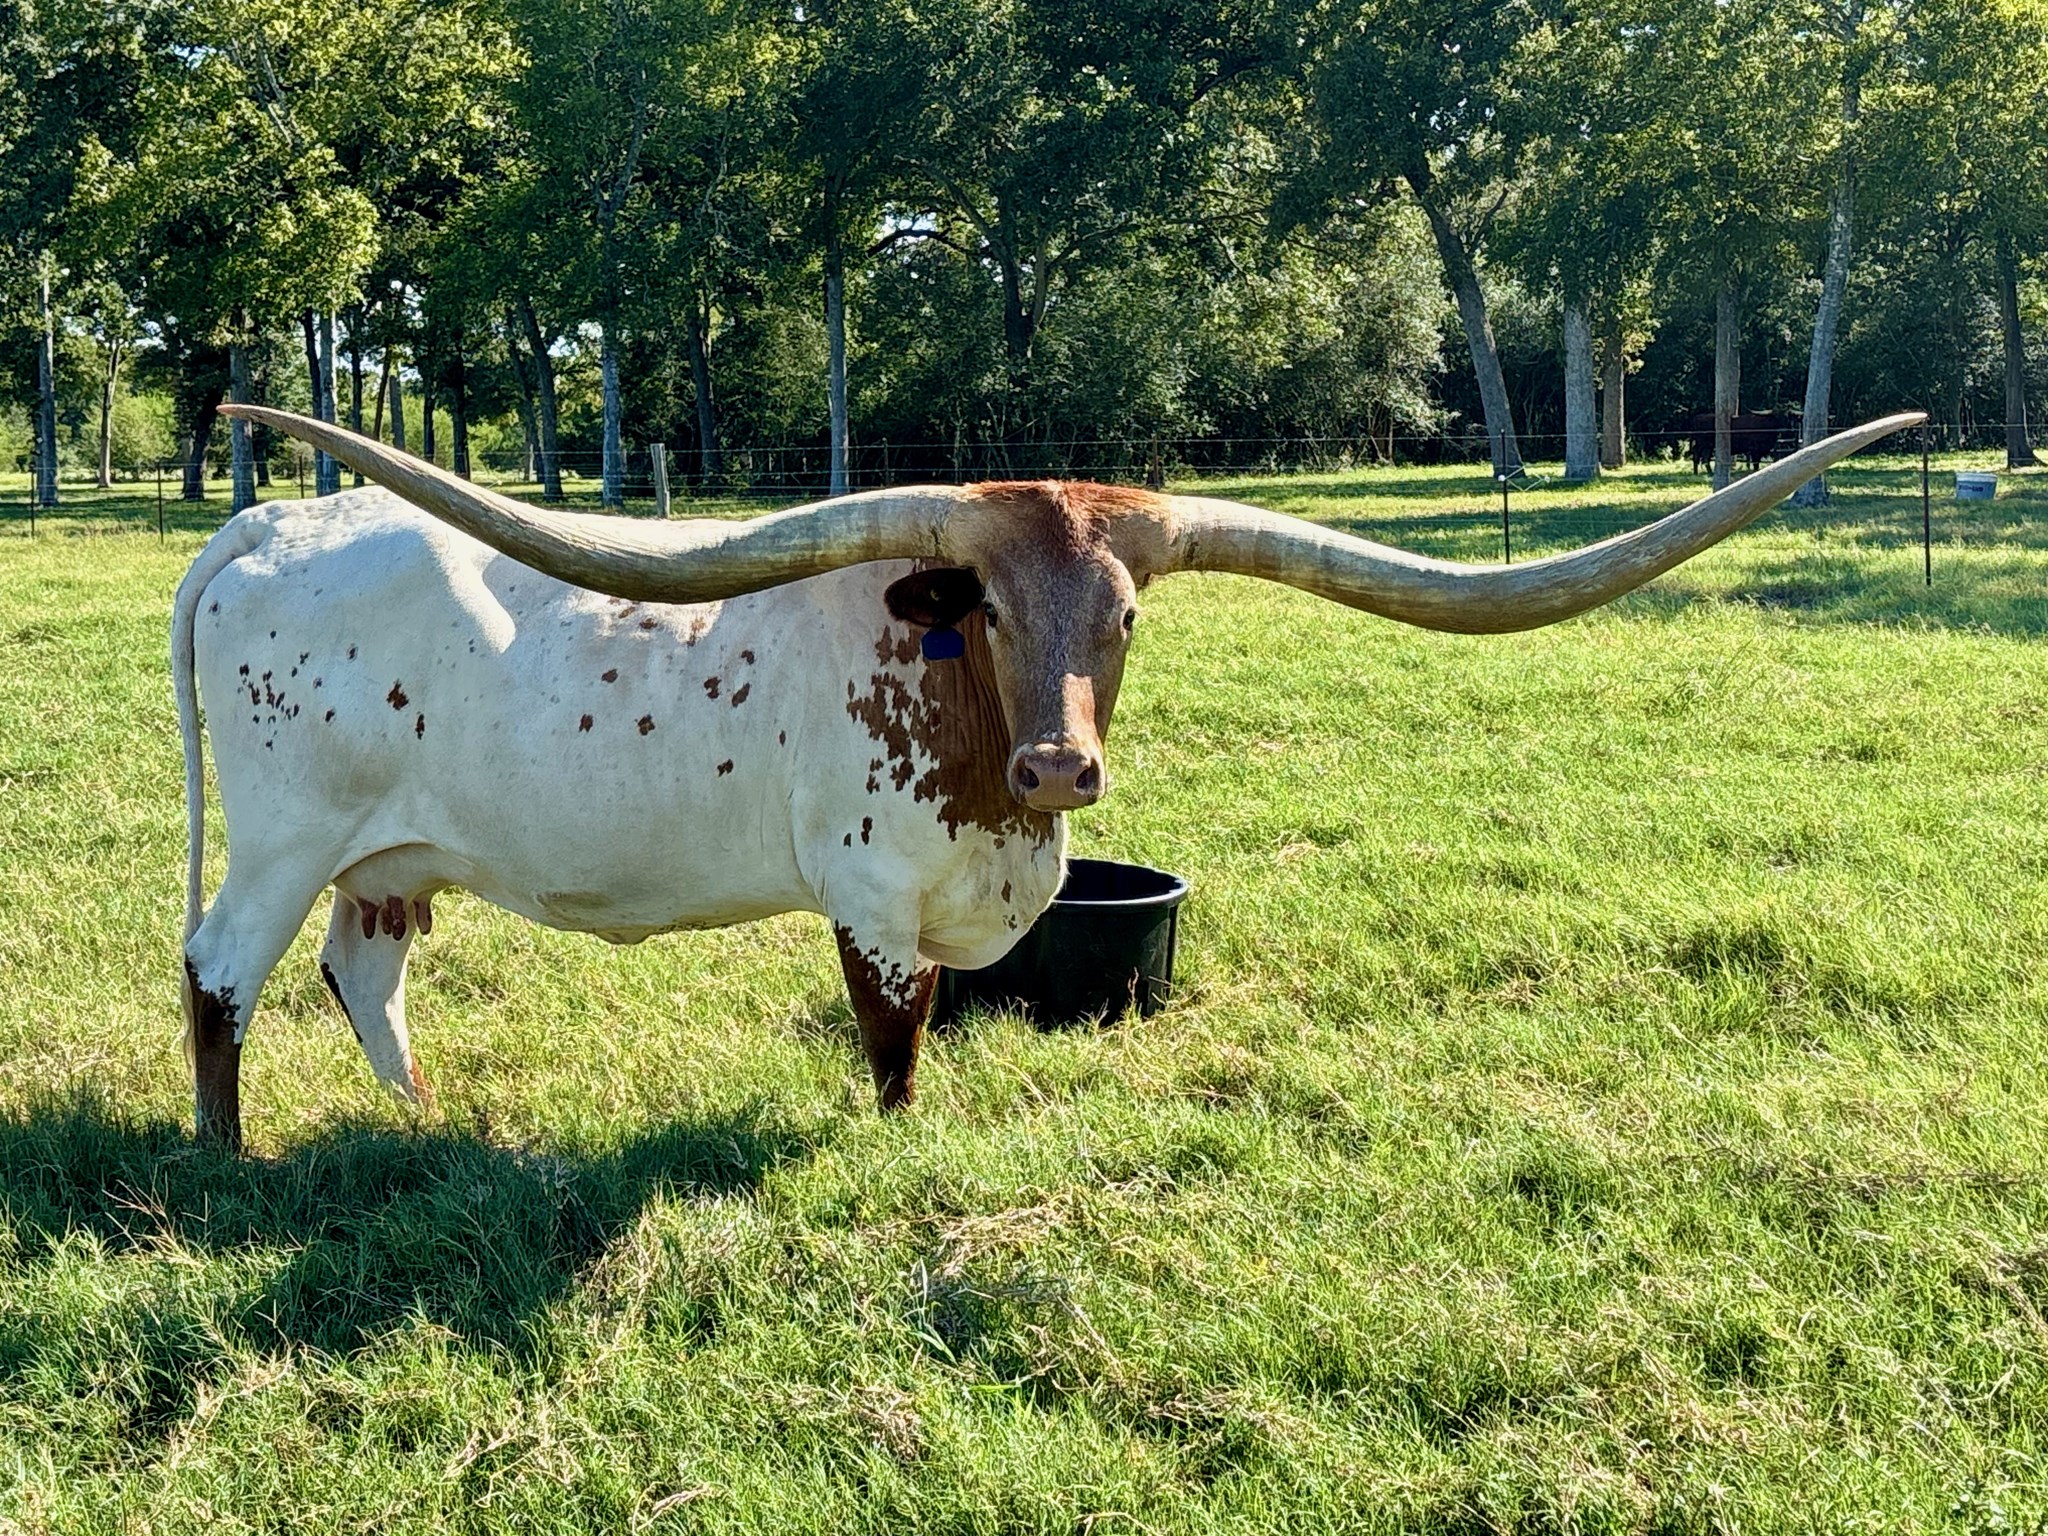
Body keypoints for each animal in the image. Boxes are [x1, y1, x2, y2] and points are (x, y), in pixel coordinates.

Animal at [177, 406, 1921, 1148]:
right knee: (218, 973)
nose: (1062, 760)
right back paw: (223, 1155)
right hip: (279, 840)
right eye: (994, 608)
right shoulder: (875, 899)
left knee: (363, 978)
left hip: (389, 859)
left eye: (1128, 611)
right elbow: (894, 1043)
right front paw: (888, 1153)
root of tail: (272, 519)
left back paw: (426, 1127)